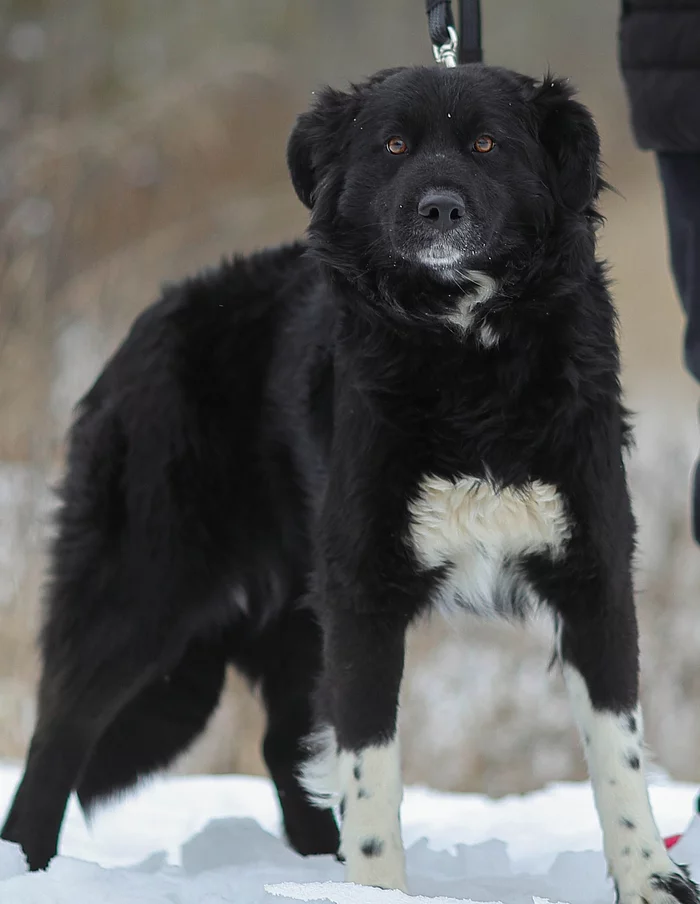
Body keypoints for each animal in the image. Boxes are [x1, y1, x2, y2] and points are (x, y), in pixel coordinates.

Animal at [2, 63, 696, 904]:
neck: (467, 353)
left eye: (487, 144)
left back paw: (309, 865)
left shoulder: (593, 575)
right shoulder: (364, 591)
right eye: (393, 145)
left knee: (277, 743)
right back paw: (30, 865)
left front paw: (651, 880)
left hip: (296, 608)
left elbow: (618, 753)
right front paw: (376, 888)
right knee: (60, 731)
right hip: (144, 586)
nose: (439, 208)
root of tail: (154, 315)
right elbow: (370, 767)